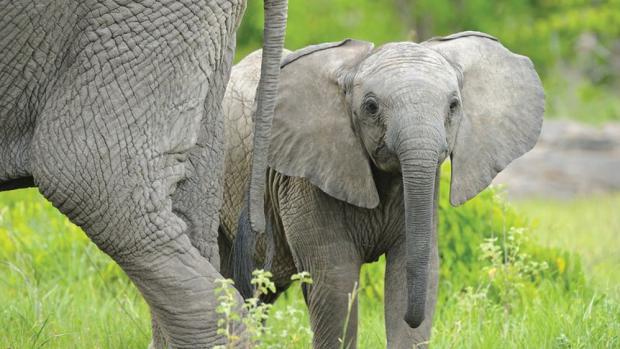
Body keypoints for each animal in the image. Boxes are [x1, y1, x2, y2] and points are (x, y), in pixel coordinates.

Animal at [219, 31, 544, 346]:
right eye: (371, 107)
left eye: (454, 105)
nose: (413, 317)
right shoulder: (305, 181)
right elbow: (335, 282)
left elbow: (411, 269)